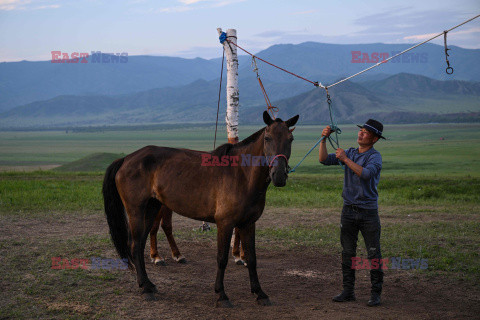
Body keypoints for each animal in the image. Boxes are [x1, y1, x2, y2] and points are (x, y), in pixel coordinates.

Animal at [103, 111, 298, 306]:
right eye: (267, 138)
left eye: (291, 139)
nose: (279, 175)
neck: (241, 175)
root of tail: (125, 159)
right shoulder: (225, 223)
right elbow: (222, 258)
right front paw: (221, 294)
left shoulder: (248, 224)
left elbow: (251, 258)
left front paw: (260, 293)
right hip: (136, 210)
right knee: (135, 245)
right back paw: (145, 288)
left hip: (151, 209)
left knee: (141, 243)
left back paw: (149, 285)